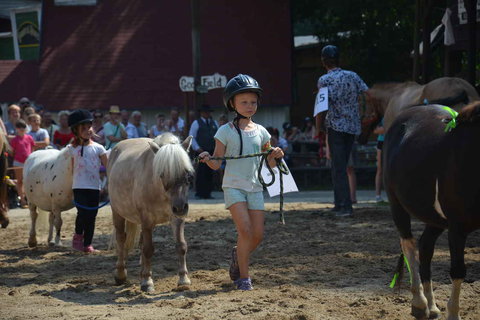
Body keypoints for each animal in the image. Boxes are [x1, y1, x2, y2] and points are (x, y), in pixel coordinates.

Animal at [108, 132, 194, 292]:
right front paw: (147, 282)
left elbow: (181, 245)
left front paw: (183, 279)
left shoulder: (177, 218)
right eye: (162, 174)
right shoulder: (146, 219)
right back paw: (121, 274)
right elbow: (148, 249)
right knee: (121, 239)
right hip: (117, 212)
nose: (180, 207)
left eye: (188, 173)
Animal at [384, 102, 480, 320]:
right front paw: (453, 314)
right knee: (409, 246)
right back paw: (420, 303)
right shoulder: (457, 228)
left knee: (426, 247)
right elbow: (458, 271)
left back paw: (432, 306)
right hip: (397, 205)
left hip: (434, 219)